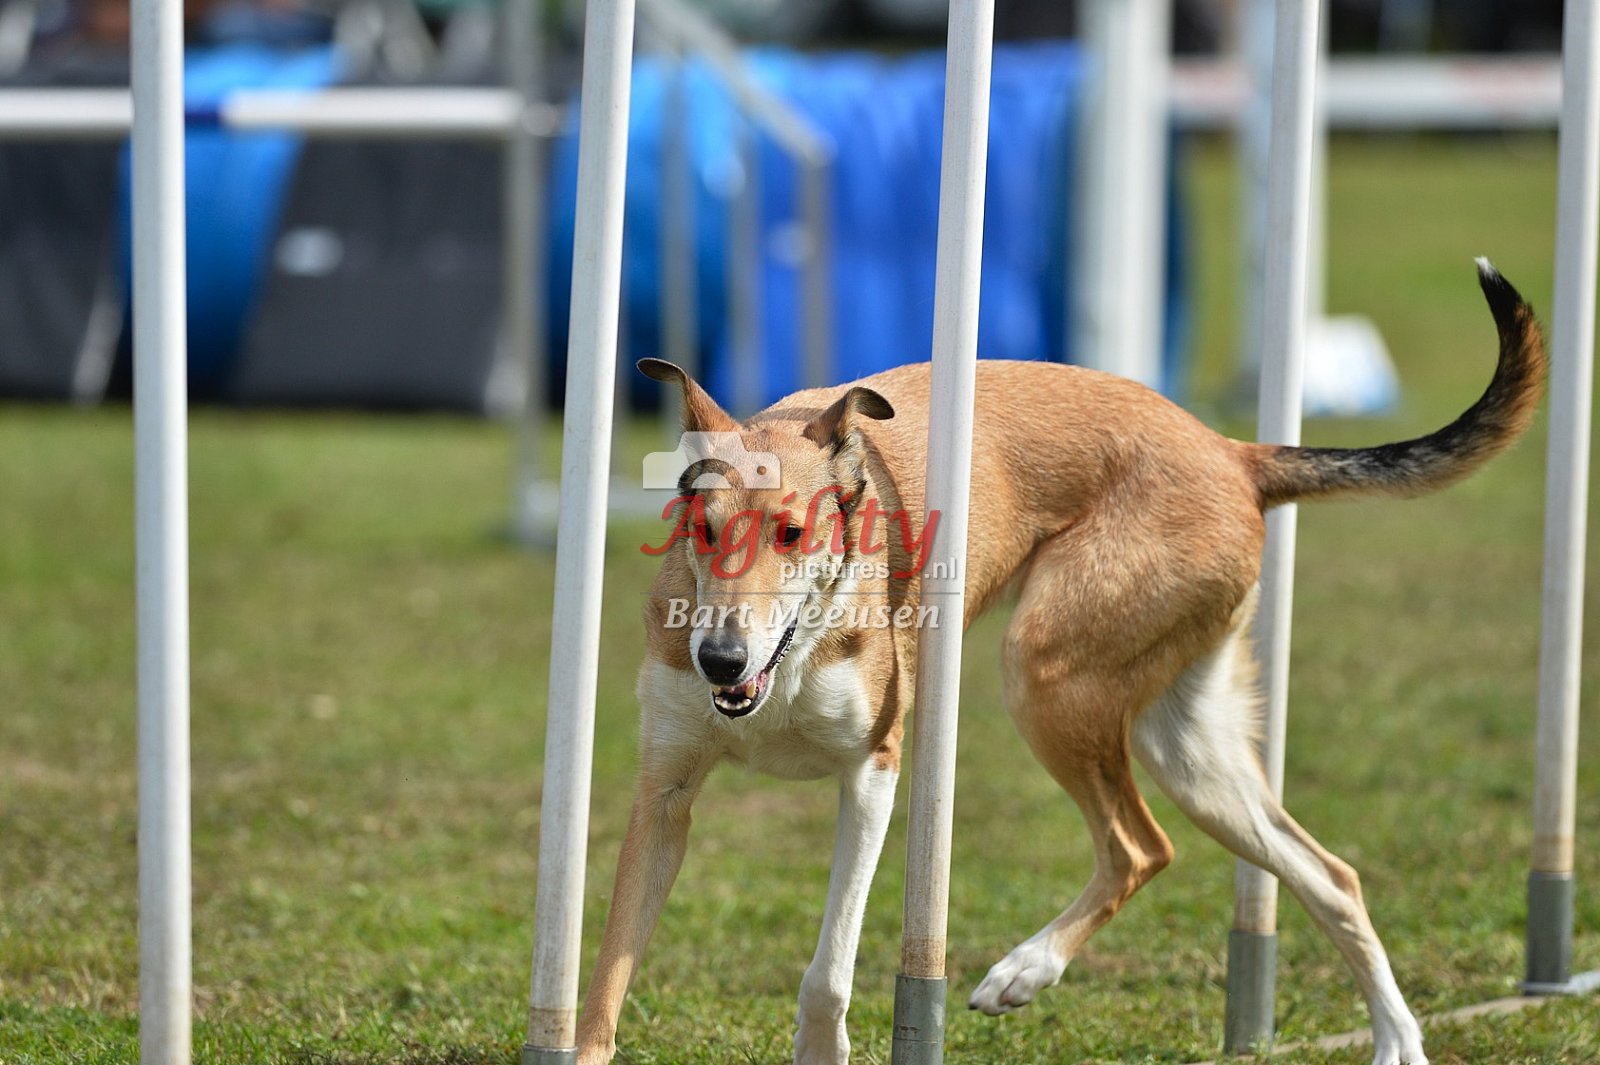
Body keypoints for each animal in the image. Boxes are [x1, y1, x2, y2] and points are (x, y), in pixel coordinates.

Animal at [571, 261, 1545, 1065]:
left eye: (792, 533)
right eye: (702, 530)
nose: (719, 659)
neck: (790, 662)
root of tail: (1234, 453)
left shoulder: (874, 772)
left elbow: (829, 970)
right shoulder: (665, 794)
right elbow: (606, 977)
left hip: (1045, 676)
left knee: (1141, 847)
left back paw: (1023, 970)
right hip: (1191, 750)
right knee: (1328, 873)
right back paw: (1398, 1041)